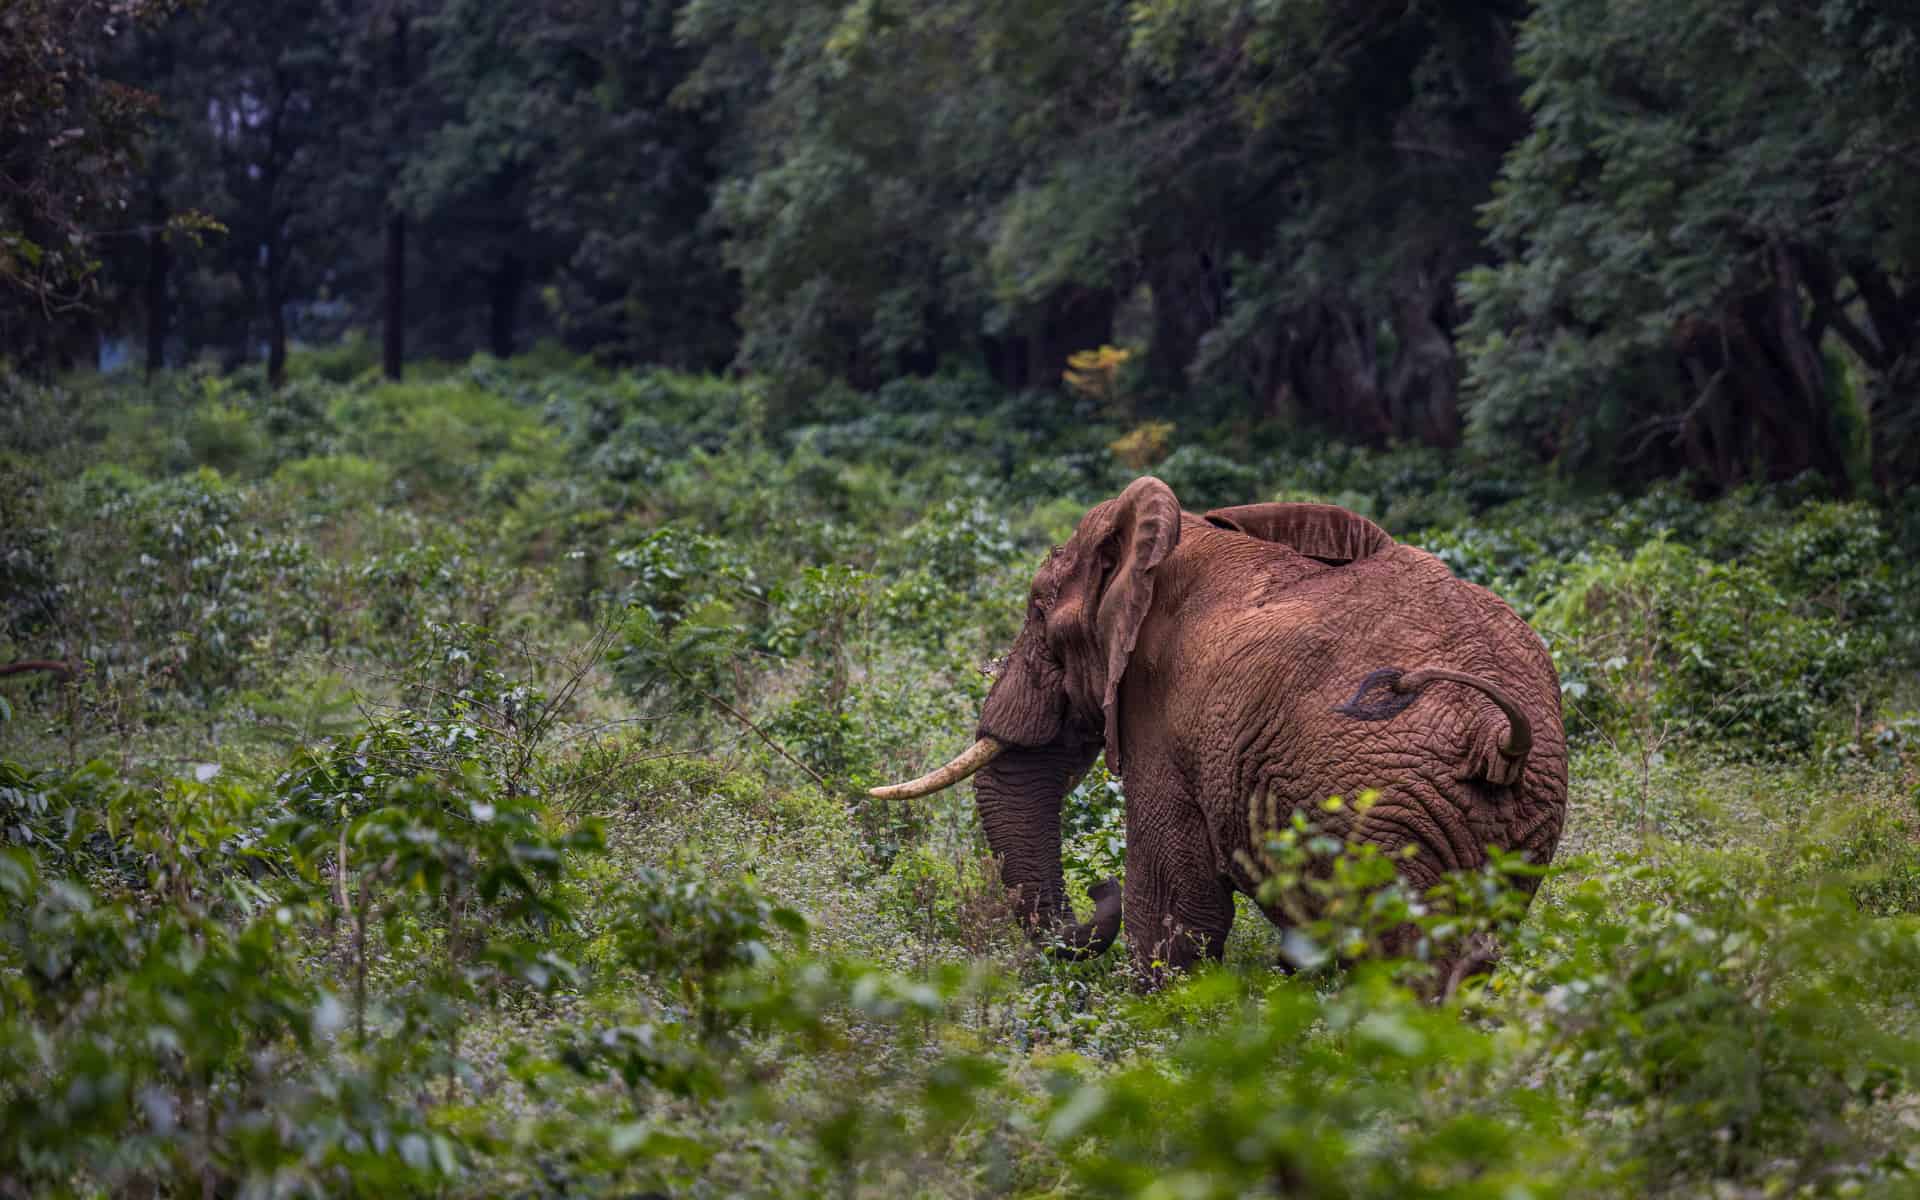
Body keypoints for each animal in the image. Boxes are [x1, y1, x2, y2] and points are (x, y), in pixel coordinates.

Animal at [870, 476, 1567, 986]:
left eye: (1039, 611)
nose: (1097, 884)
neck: (1171, 539)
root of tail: (1496, 735)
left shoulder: (1161, 710)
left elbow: (1175, 907)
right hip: (1511, 822)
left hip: (1388, 822)